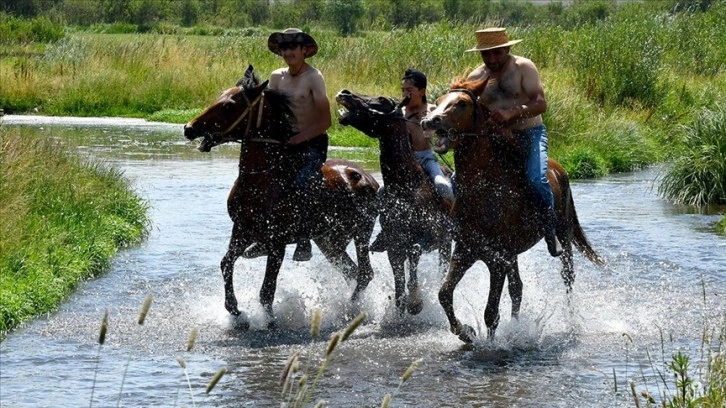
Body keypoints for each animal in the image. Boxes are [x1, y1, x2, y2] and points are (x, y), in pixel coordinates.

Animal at [182, 64, 382, 326]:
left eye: (227, 106)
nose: (189, 128)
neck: (262, 178)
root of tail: (371, 180)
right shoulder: (242, 229)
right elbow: (226, 263)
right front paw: (235, 310)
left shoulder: (277, 242)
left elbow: (267, 289)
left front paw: (268, 321)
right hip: (330, 241)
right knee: (353, 272)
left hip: (360, 233)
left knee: (365, 273)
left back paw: (351, 309)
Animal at [336, 89, 452, 316]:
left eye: (382, 100)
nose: (345, 93)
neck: (406, 186)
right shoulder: (394, 246)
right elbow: (399, 282)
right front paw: (400, 310)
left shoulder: (430, 237)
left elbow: (414, 252)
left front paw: (416, 302)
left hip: (446, 243)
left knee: (442, 266)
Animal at [420, 75, 604, 342]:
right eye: (440, 100)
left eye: (462, 103)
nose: (429, 121)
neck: (484, 191)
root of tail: (559, 169)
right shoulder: (466, 251)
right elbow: (444, 294)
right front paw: (465, 332)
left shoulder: (497, 259)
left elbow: (490, 312)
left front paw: (490, 344)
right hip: (513, 255)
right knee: (517, 288)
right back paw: (517, 325)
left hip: (563, 234)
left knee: (567, 277)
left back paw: (572, 324)